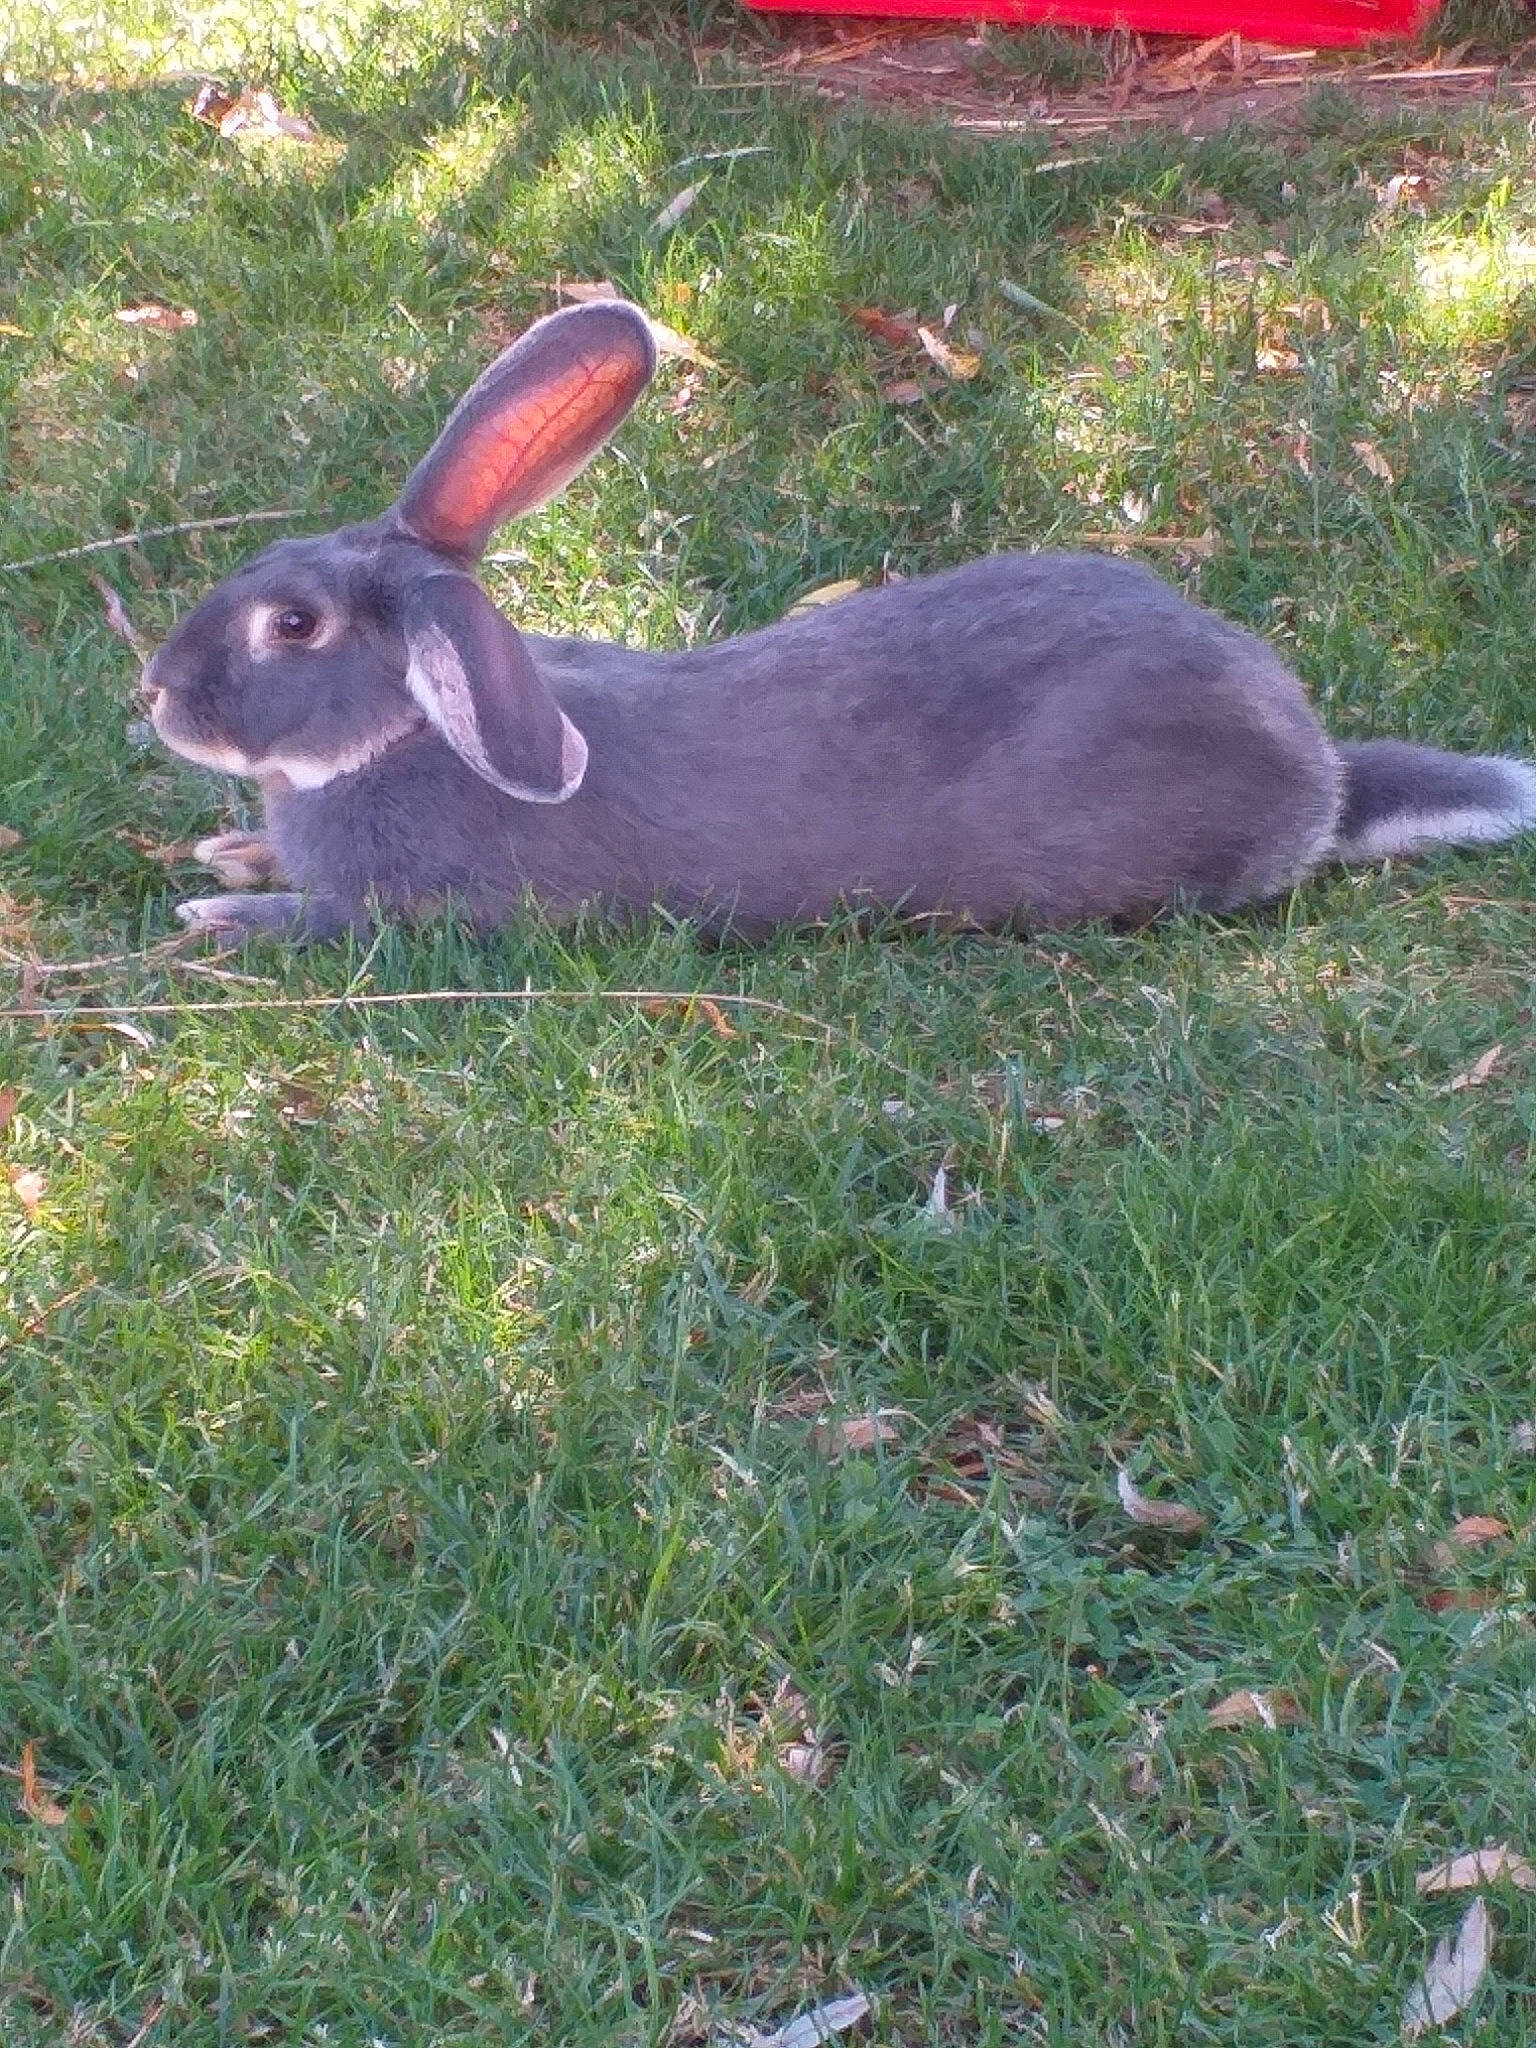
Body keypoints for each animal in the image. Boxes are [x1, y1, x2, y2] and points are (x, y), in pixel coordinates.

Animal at [140, 298, 1536, 944]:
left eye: (294, 625)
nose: (154, 692)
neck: (411, 730)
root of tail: (1319, 774)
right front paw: (231, 855)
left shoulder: (424, 916)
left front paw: (219, 918)